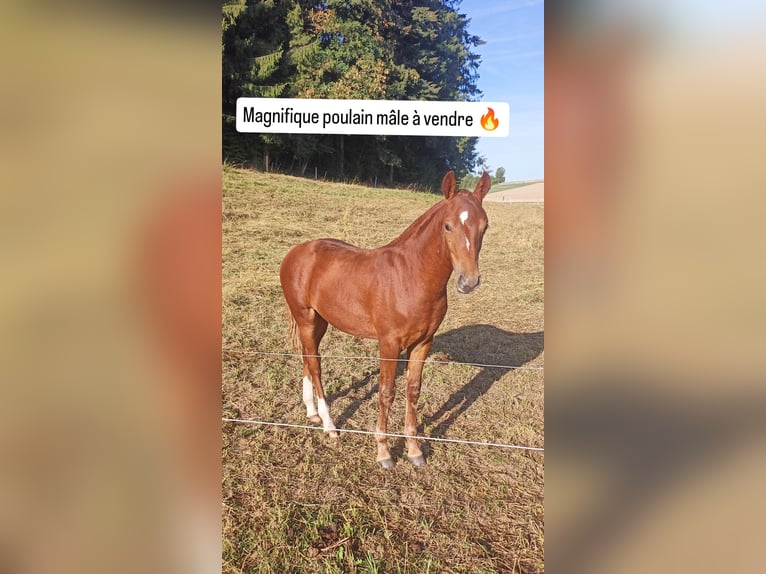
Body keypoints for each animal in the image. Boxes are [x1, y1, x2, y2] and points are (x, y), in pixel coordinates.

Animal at [279, 170, 491, 468]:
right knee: (316, 366)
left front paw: (414, 451)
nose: (468, 281)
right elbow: (386, 392)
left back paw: (311, 412)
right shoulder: (389, 344)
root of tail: (295, 252)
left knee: (308, 359)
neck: (411, 276)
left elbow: (413, 391)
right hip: (306, 319)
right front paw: (384, 453)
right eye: (448, 226)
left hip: (319, 322)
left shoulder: (423, 343)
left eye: (484, 227)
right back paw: (330, 426)